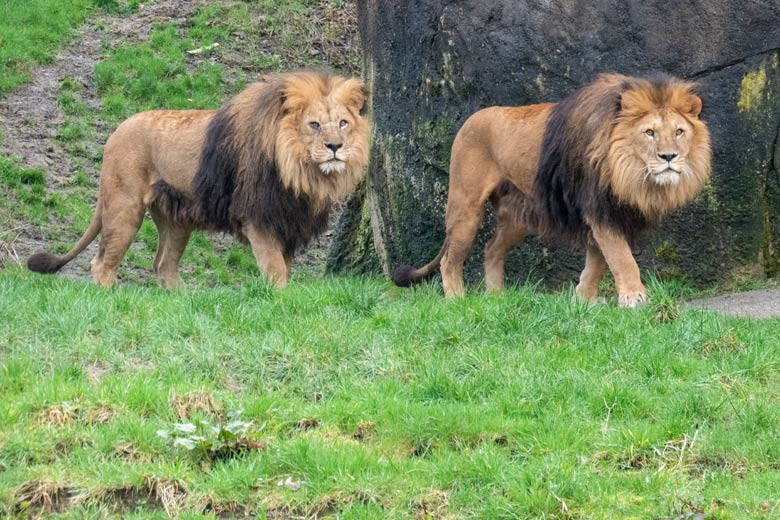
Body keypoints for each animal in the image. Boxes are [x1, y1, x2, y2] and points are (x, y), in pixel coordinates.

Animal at [29, 70, 370, 288]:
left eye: (343, 123)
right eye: (314, 125)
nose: (335, 147)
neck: (301, 172)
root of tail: (115, 131)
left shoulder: (288, 222)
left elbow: (284, 267)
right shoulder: (258, 219)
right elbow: (276, 271)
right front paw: (281, 301)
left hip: (176, 221)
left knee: (163, 265)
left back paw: (185, 302)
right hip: (124, 206)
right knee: (102, 263)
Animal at [396, 74, 712, 306]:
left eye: (679, 131)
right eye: (649, 132)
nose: (669, 157)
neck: (631, 173)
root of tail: (469, 119)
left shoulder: (610, 213)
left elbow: (598, 260)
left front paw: (584, 299)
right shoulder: (599, 209)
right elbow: (621, 258)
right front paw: (634, 299)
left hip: (518, 218)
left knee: (491, 249)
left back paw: (496, 297)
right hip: (466, 206)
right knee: (449, 260)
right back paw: (457, 301)